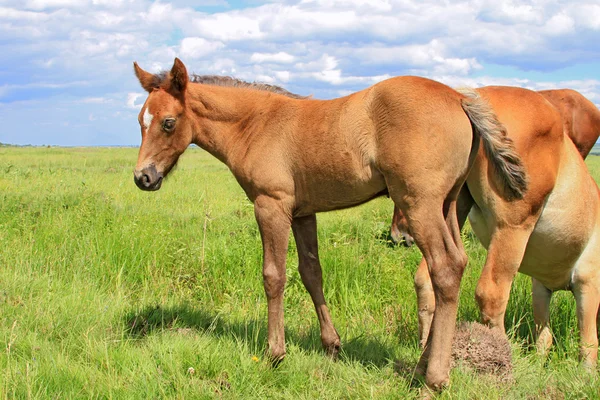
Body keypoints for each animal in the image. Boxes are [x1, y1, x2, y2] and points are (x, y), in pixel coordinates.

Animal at [131, 59, 524, 390]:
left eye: (168, 122)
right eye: (139, 121)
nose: (143, 177)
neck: (255, 124)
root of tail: (460, 98)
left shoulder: (271, 205)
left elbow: (273, 276)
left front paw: (275, 354)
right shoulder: (303, 213)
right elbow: (311, 273)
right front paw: (332, 345)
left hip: (419, 203)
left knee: (445, 268)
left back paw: (434, 378)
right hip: (449, 204)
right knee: (455, 262)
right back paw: (421, 365)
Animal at [412, 86, 600, 368]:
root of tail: (471, 98)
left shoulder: (541, 287)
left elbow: (544, 335)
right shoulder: (589, 282)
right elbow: (588, 343)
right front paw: (585, 373)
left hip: (450, 211)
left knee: (427, 279)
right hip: (512, 229)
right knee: (491, 294)